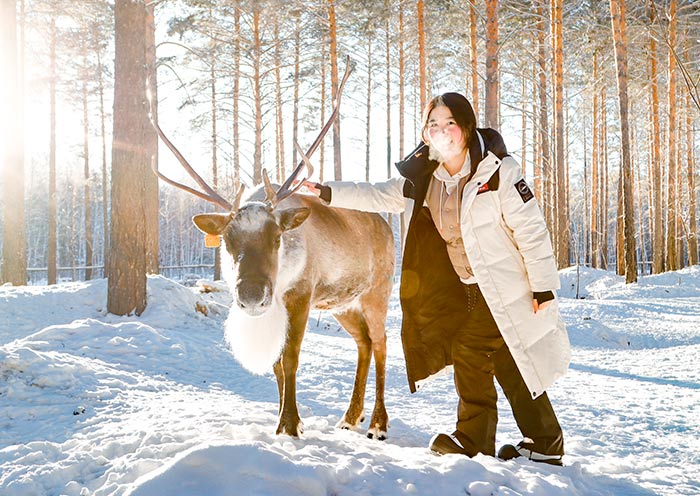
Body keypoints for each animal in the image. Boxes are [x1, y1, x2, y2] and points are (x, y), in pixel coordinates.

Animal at [149, 61, 394, 440]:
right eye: (227, 241)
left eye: (277, 237)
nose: (252, 295)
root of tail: (386, 224)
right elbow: (277, 365)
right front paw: (285, 420)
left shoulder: (300, 295)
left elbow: (290, 358)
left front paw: (290, 425)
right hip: (343, 303)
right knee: (363, 344)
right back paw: (350, 417)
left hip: (376, 292)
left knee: (381, 344)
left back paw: (378, 423)